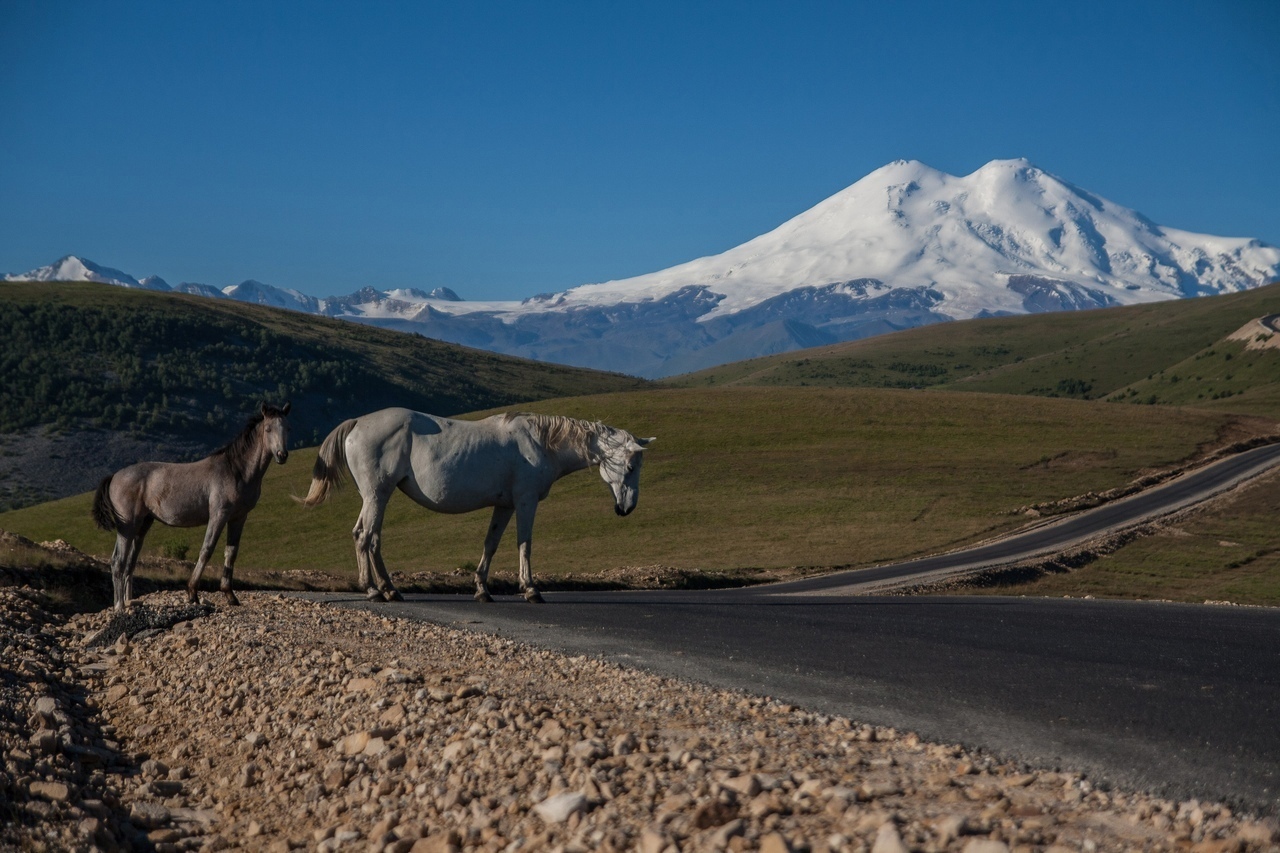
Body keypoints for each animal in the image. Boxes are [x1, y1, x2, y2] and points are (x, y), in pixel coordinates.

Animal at [298, 409, 655, 601]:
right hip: (377, 494)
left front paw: (482, 588)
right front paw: (531, 589)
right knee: (366, 538)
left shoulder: (505, 506)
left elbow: (491, 544)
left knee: (367, 538)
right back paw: (373, 590)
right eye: (630, 466)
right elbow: (524, 544)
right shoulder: (525, 502)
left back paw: (389, 589)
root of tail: (358, 422)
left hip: (374, 497)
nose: (627, 507)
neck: (541, 443)